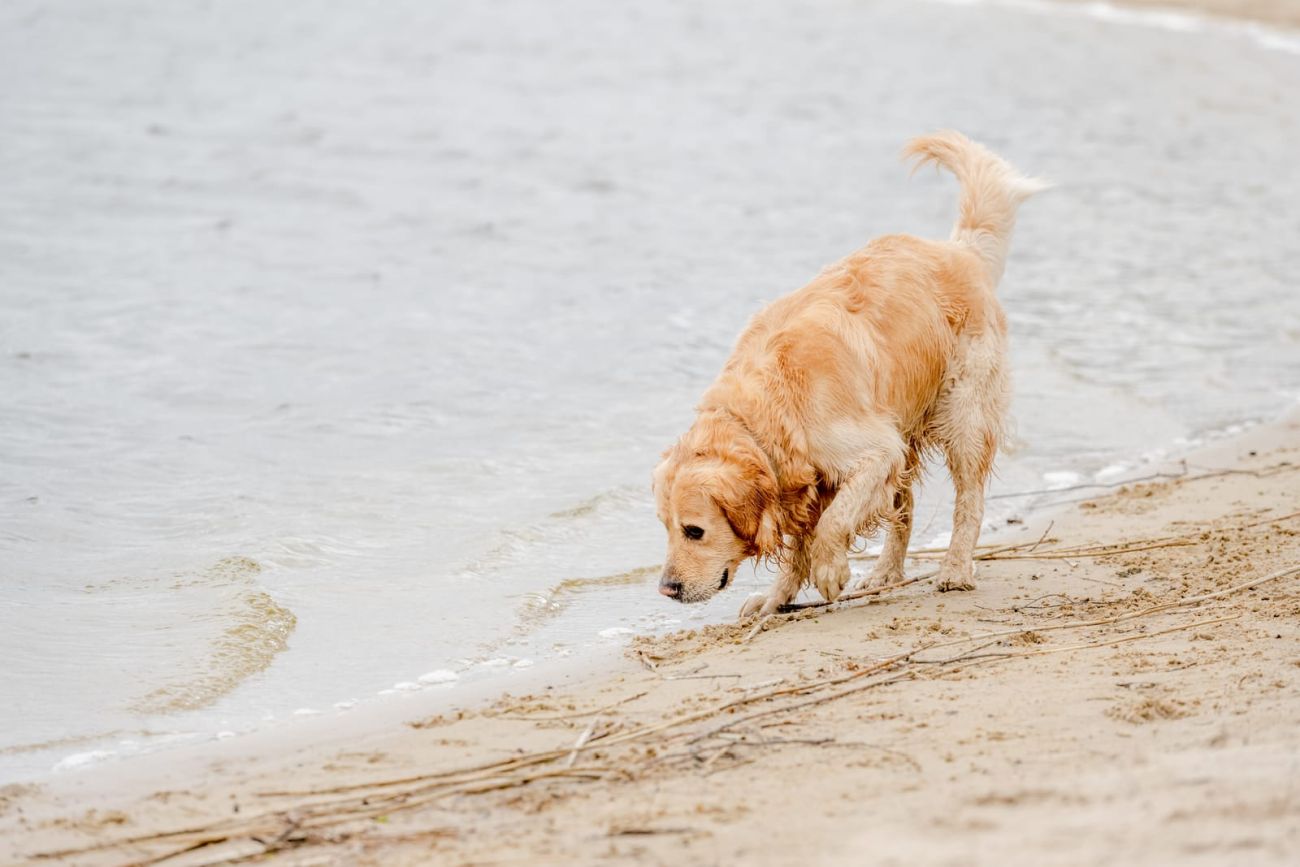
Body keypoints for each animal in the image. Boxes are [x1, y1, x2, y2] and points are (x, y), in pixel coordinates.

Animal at [650, 130, 1045, 616]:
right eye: (665, 526)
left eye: (694, 530)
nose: (667, 588)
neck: (772, 408)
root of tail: (959, 251)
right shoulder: (802, 486)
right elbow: (800, 543)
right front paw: (775, 599)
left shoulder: (874, 452)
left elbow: (833, 523)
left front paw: (829, 571)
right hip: (904, 430)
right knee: (904, 509)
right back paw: (885, 573)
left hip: (963, 414)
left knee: (968, 499)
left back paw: (954, 570)